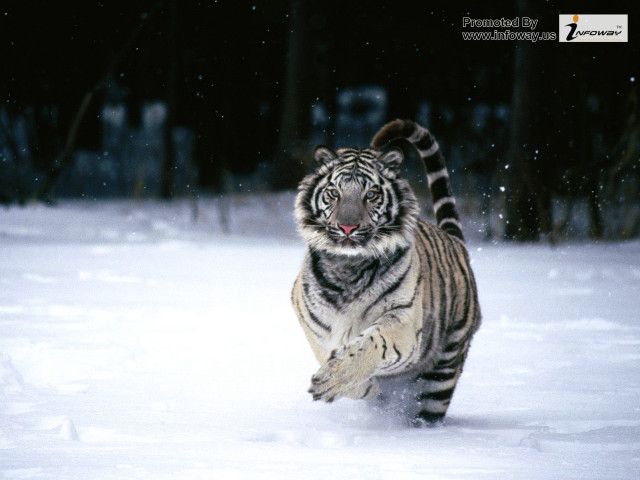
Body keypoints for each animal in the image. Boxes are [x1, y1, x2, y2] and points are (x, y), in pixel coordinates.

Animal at [291, 119, 481, 424]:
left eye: (371, 194)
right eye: (334, 193)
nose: (347, 227)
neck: (348, 267)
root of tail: (456, 242)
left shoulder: (404, 318)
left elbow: (370, 345)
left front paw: (334, 379)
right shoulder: (313, 323)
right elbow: (330, 354)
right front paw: (365, 388)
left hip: (443, 370)